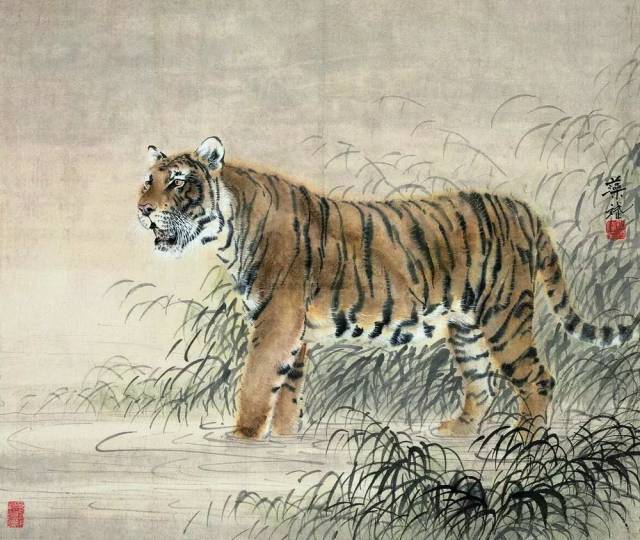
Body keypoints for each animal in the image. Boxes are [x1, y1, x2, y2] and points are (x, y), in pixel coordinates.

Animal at [137, 136, 639, 439]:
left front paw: (241, 436)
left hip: (505, 317)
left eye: (177, 182)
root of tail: (524, 209)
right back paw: (458, 430)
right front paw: (282, 436)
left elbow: (256, 384)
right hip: (467, 329)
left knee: (537, 378)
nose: (142, 210)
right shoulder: (293, 331)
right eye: (148, 180)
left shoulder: (275, 323)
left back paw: (525, 442)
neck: (226, 230)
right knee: (482, 384)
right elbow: (286, 391)